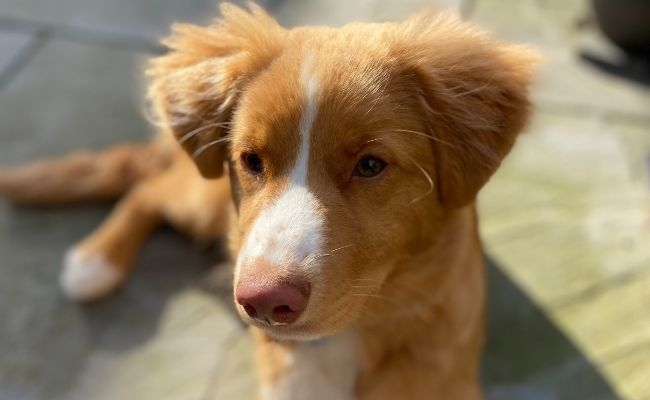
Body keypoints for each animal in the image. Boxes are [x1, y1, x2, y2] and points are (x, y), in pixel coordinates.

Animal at [0, 3, 536, 400]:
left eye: (370, 165)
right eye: (251, 159)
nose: (261, 300)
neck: (353, 336)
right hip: (203, 199)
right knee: (147, 186)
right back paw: (97, 263)